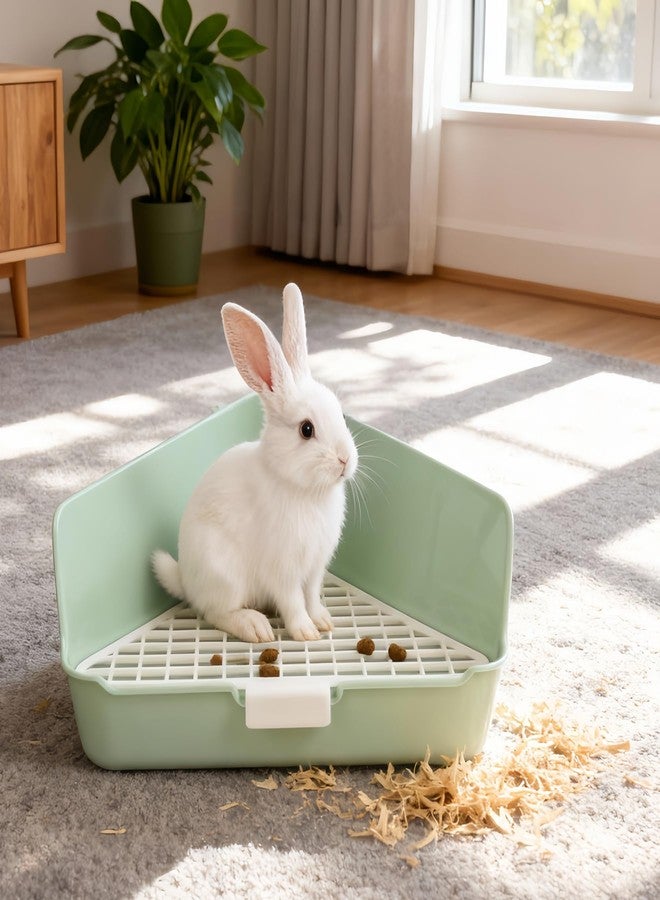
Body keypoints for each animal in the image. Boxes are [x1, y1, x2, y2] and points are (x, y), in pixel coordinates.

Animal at [152, 283, 358, 643]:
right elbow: (293, 602)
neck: (304, 490)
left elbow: (311, 595)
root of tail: (186, 581)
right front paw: (305, 633)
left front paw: (324, 622)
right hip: (224, 573)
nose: (345, 460)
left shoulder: (314, 568)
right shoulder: (283, 569)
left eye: (341, 413)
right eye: (306, 429)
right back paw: (256, 628)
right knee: (216, 613)